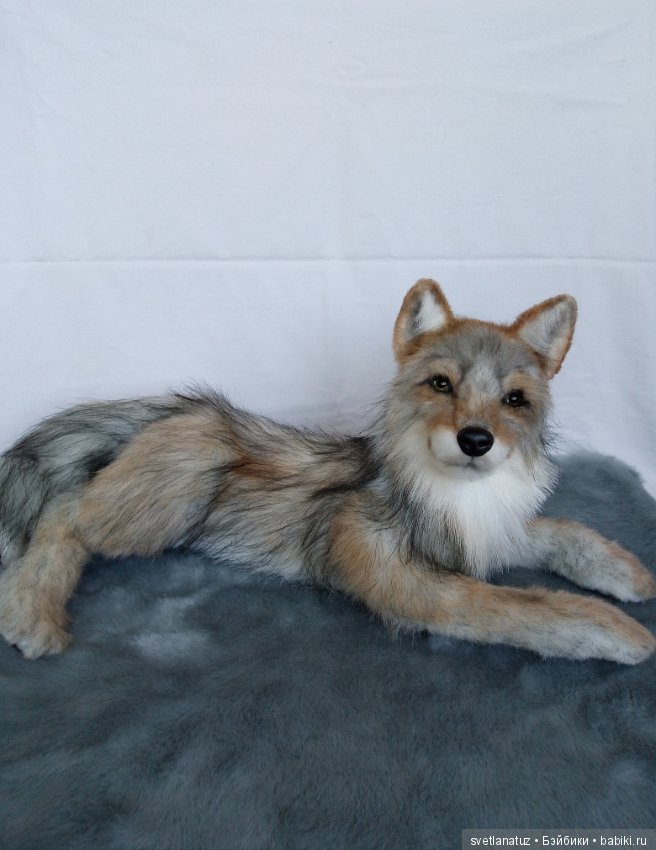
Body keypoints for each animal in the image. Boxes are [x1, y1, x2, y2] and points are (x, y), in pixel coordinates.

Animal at [0, 280, 654, 663]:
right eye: (441, 384)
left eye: (513, 399)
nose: (475, 440)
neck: (453, 497)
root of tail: (180, 407)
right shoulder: (407, 581)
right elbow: (527, 608)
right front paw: (617, 632)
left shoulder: (488, 538)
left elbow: (565, 533)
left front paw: (625, 573)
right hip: (175, 492)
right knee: (63, 512)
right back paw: (32, 614)